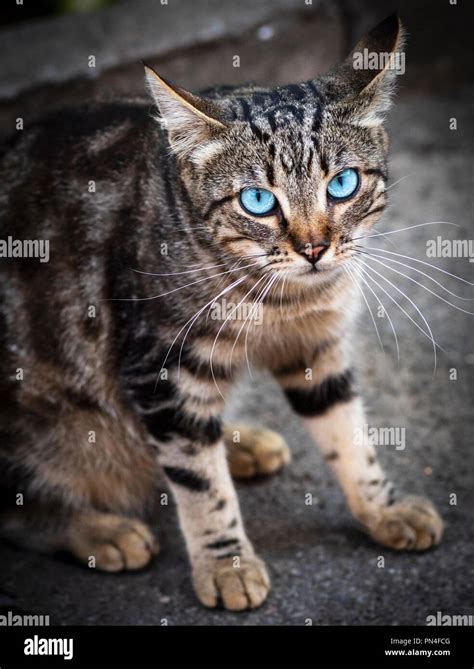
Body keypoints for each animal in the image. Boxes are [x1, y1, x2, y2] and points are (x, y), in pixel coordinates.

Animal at [0, 15, 442, 612]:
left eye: (343, 184)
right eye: (257, 200)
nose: (313, 248)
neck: (278, 299)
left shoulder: (317, 346)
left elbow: (349, 434)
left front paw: (384, 507)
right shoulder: (161, 367)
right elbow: (200, 487)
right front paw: (225, 562)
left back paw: (239, 443)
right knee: (22, 508)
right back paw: (102, 531)